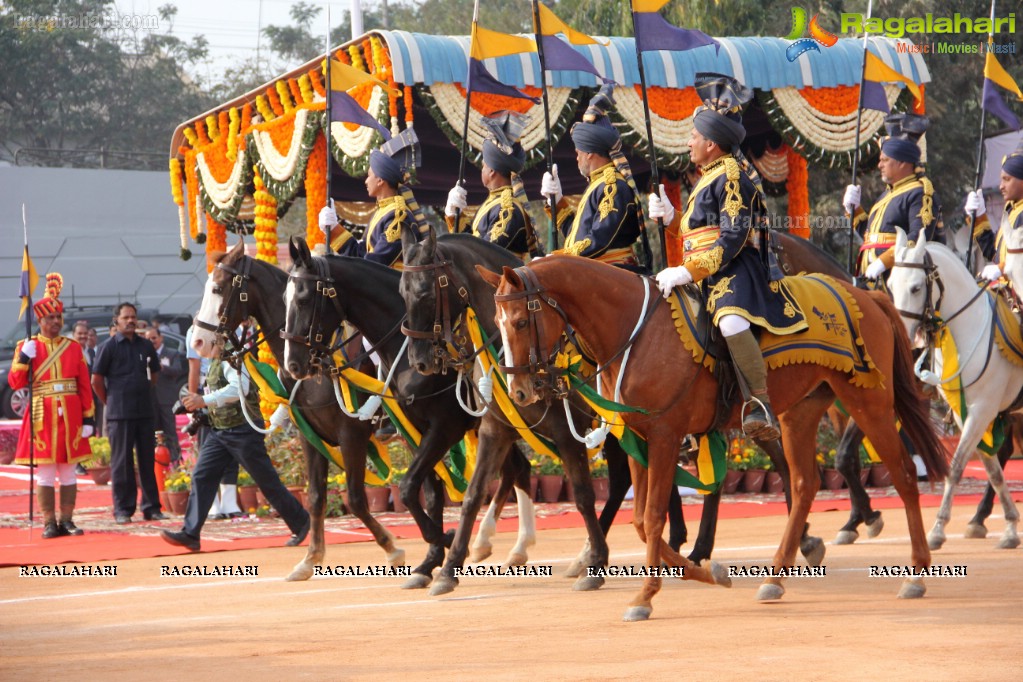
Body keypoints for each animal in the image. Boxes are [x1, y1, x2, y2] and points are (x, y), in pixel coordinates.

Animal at [190, 241, 405, 580]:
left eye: (218, 288)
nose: (199, 341)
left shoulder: (351, 434)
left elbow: (356, 498)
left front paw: (391, 547)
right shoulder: (310, 437)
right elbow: (316, 497)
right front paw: (311, 557)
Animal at [280, 240, 609, 593]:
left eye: (303, 298)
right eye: (285, 299)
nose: (293, 364)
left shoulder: (438, 427)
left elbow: (403, 488)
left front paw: (440, 543)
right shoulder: (415, 432)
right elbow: (427, 494)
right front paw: (433, 558)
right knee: (520, 470)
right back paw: (507, 546)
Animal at [482, 255, 945, 625]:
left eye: (520, 321)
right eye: (498, 325)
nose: (519, 392)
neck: (632, 330)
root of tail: (866, 296)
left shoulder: (665, 437)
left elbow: (653, 518)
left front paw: (646, 596)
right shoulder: (638, 439)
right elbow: (640, 522)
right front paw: (705, 572)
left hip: (870, 403)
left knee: (904, 475)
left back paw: (918, 573)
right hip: (800, 412)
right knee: (804, 484)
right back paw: (776, 577)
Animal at [887, 228, 1023, 548]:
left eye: (915, 288)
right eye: (889, 286)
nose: (901, 335)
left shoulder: (982, 410)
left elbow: (957, 466)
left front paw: (937, 529)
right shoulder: (967, 413)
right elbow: (992, 469)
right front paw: (1010, 526)